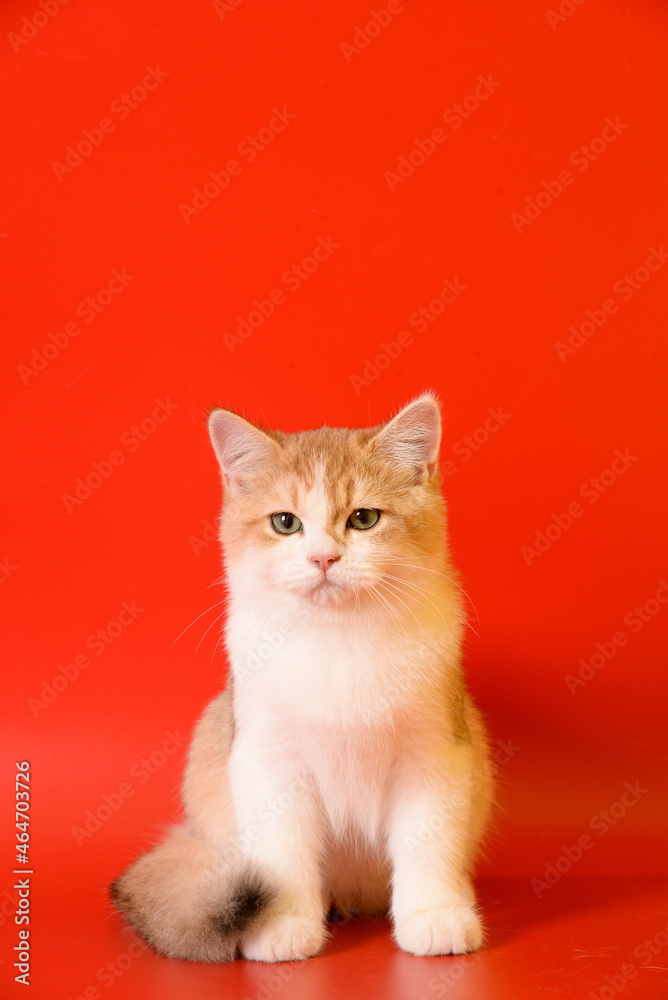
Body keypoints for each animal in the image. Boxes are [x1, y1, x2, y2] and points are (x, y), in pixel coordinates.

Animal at [109, 390, 494, 960]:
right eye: (285, 523)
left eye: (364, 518)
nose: (322, 558)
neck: (338, 638)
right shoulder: (270, 764)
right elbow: (283, 861)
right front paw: (283, 927)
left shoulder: (434, 756)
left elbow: (427, 845)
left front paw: (433, 915)